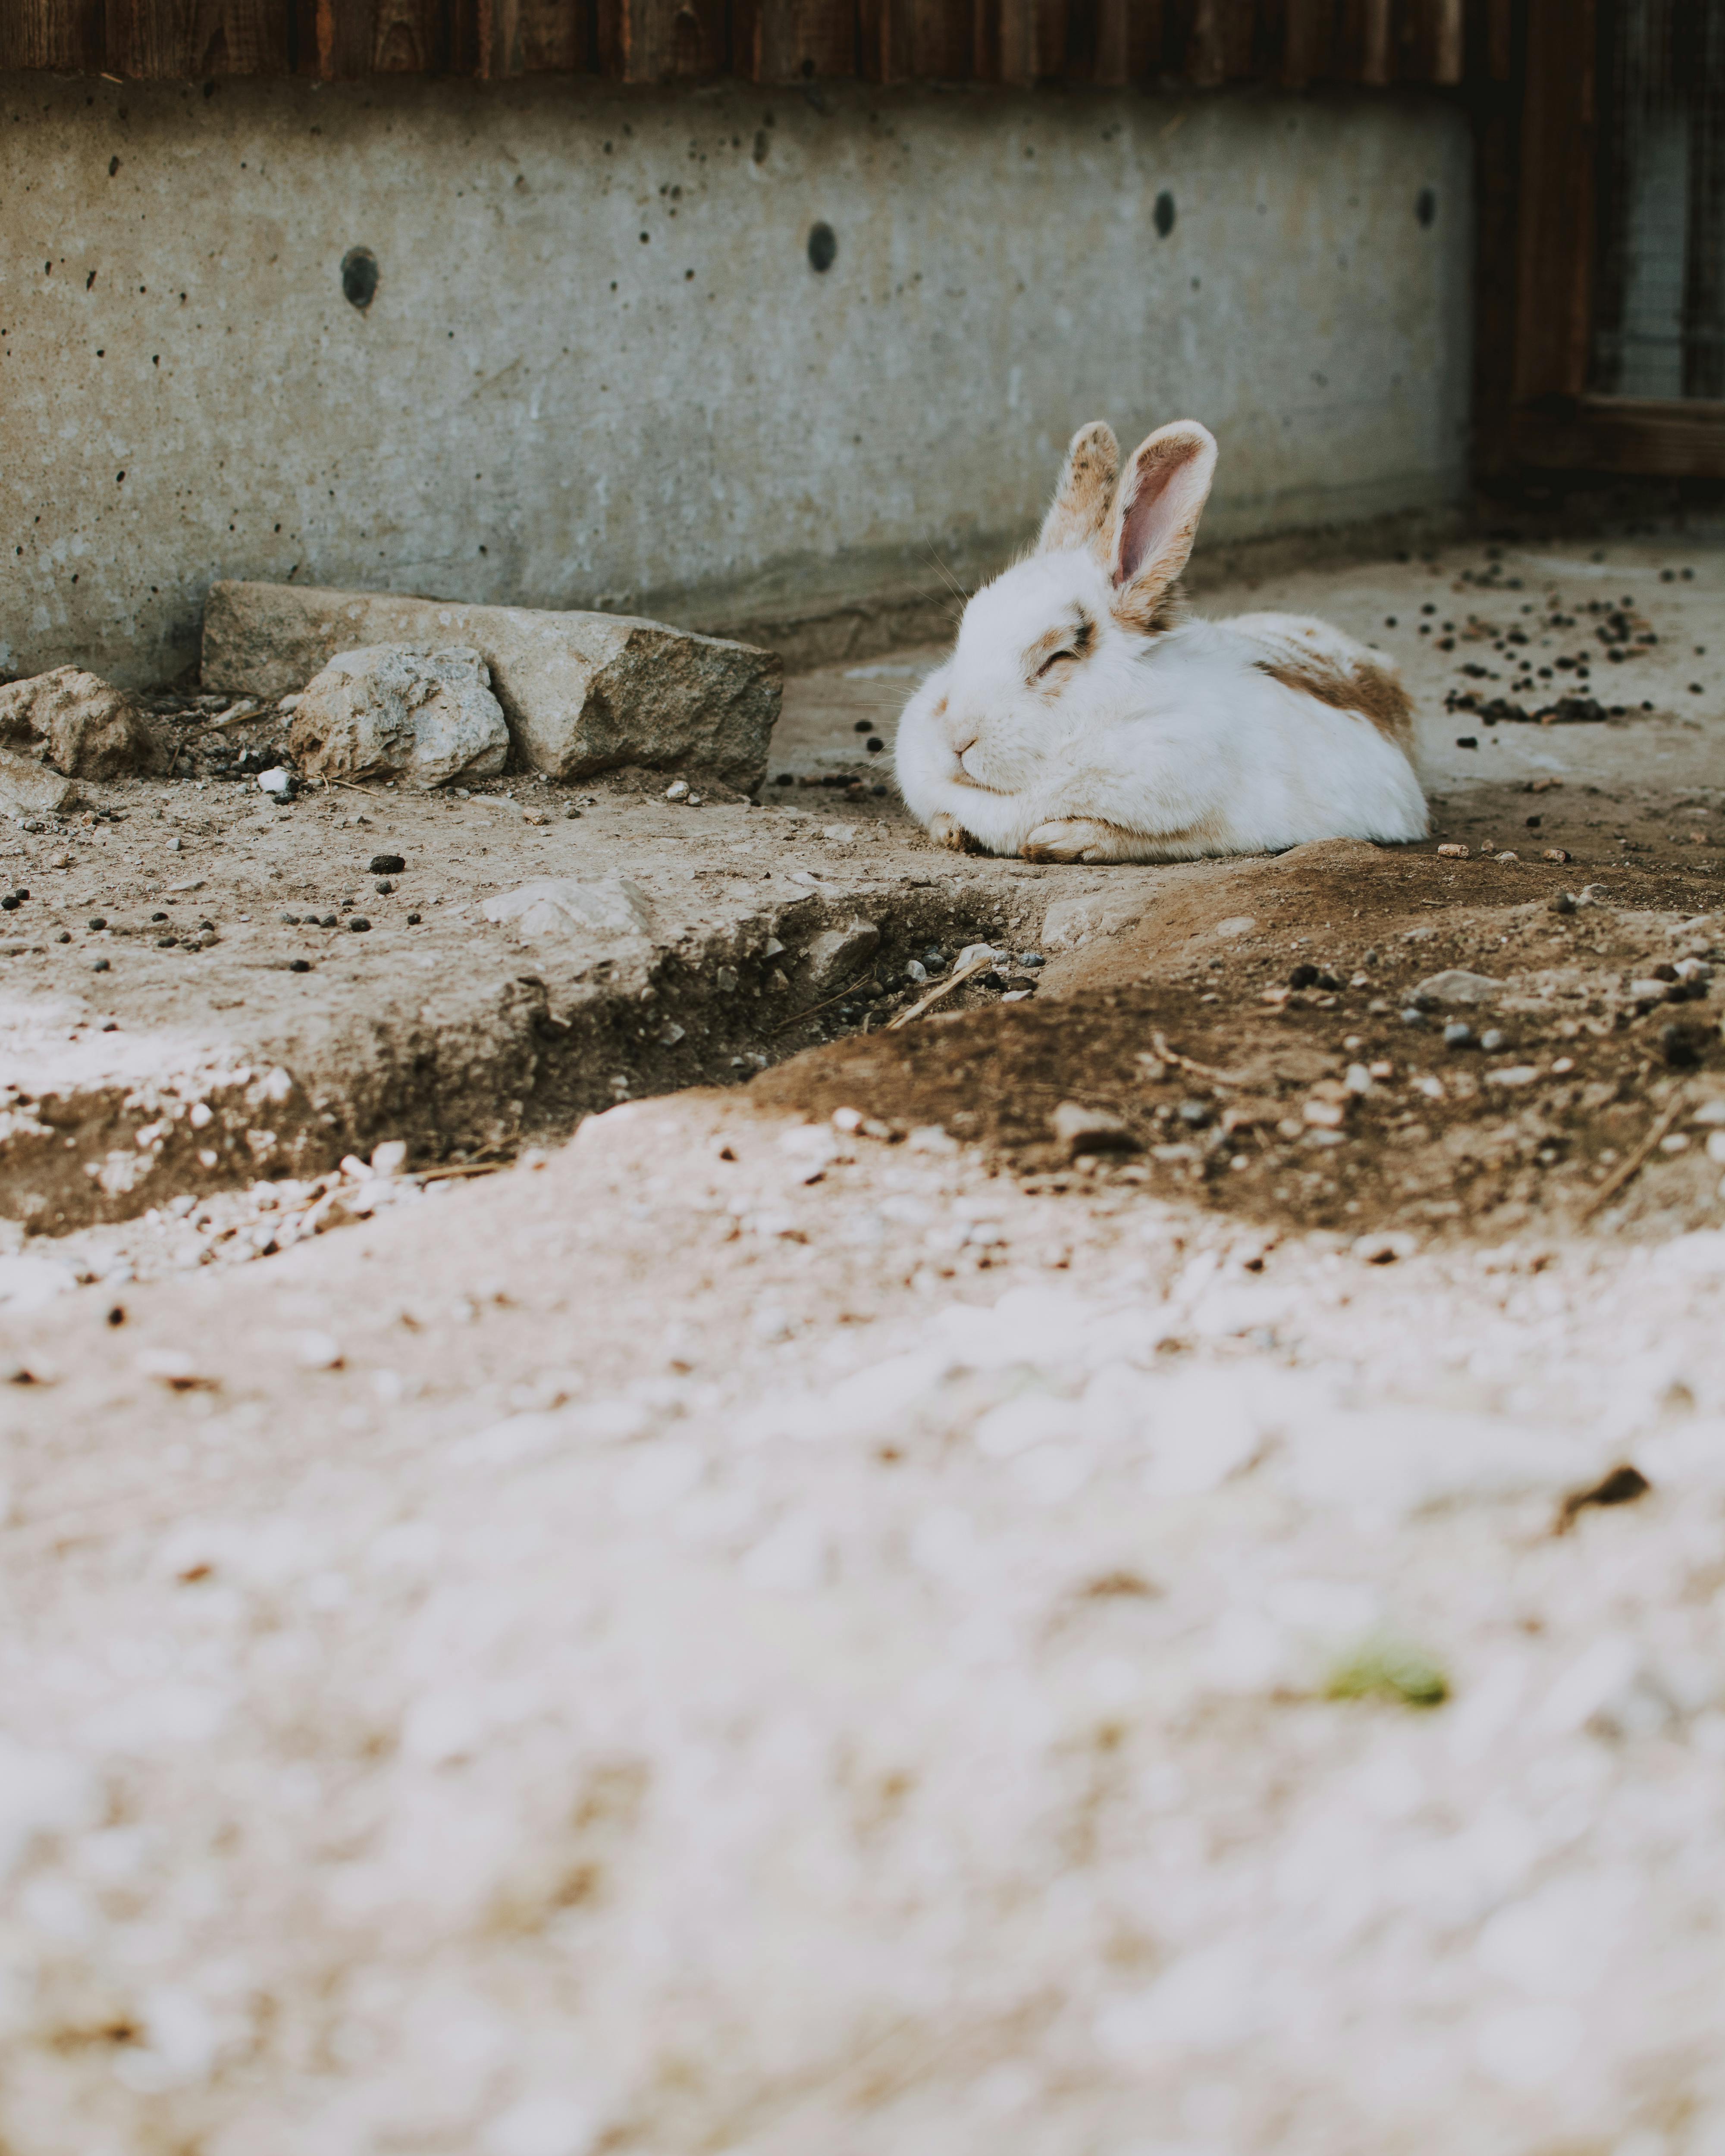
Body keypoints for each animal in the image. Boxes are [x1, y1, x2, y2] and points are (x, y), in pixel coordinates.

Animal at [888, 416, 1432, 862]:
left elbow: (1147, 836)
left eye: (1056, 657)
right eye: (966, 631)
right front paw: (952, 831)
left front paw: (1060, 840)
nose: (956, 739)